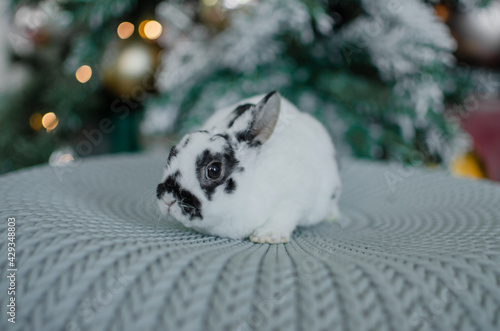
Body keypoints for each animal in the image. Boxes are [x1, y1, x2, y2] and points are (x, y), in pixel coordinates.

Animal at [158, 91, 342, 244]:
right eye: (172, 153)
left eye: (214, 170)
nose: (167, 199)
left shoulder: (297, 195)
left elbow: (285, 215)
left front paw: (267, 236)